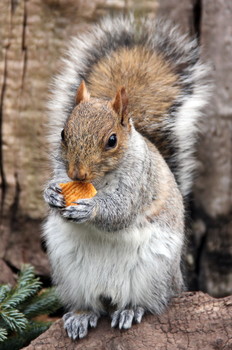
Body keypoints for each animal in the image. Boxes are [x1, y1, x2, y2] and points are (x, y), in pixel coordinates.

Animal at [42, 15, 209, 340]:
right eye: (63, 133)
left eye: (112, 140)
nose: (77, 173)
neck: (98, 181)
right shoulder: (60, 168)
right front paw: (52, 194)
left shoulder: (139, 183)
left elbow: (120, 211)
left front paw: (91, 209)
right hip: (70, 274)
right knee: (91, 304)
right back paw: (81, 316)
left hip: (152, 274)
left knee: (148, 302)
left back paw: (131, 310)